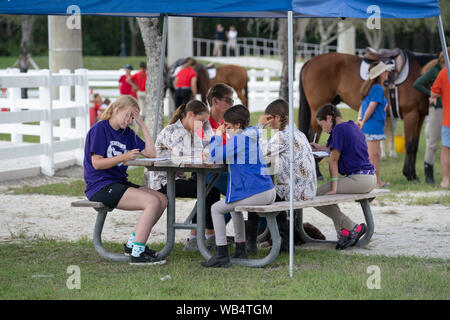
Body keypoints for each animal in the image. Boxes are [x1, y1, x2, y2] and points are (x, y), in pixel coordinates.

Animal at [298, 51, 436, 181]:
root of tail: (309, 62)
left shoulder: (420, 116)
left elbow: (415, 145)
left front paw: (412, 175)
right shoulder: (411, 115)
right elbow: (410, 145)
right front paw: (409, 174)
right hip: (318, 111)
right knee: (311, 137)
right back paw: (318, 174)